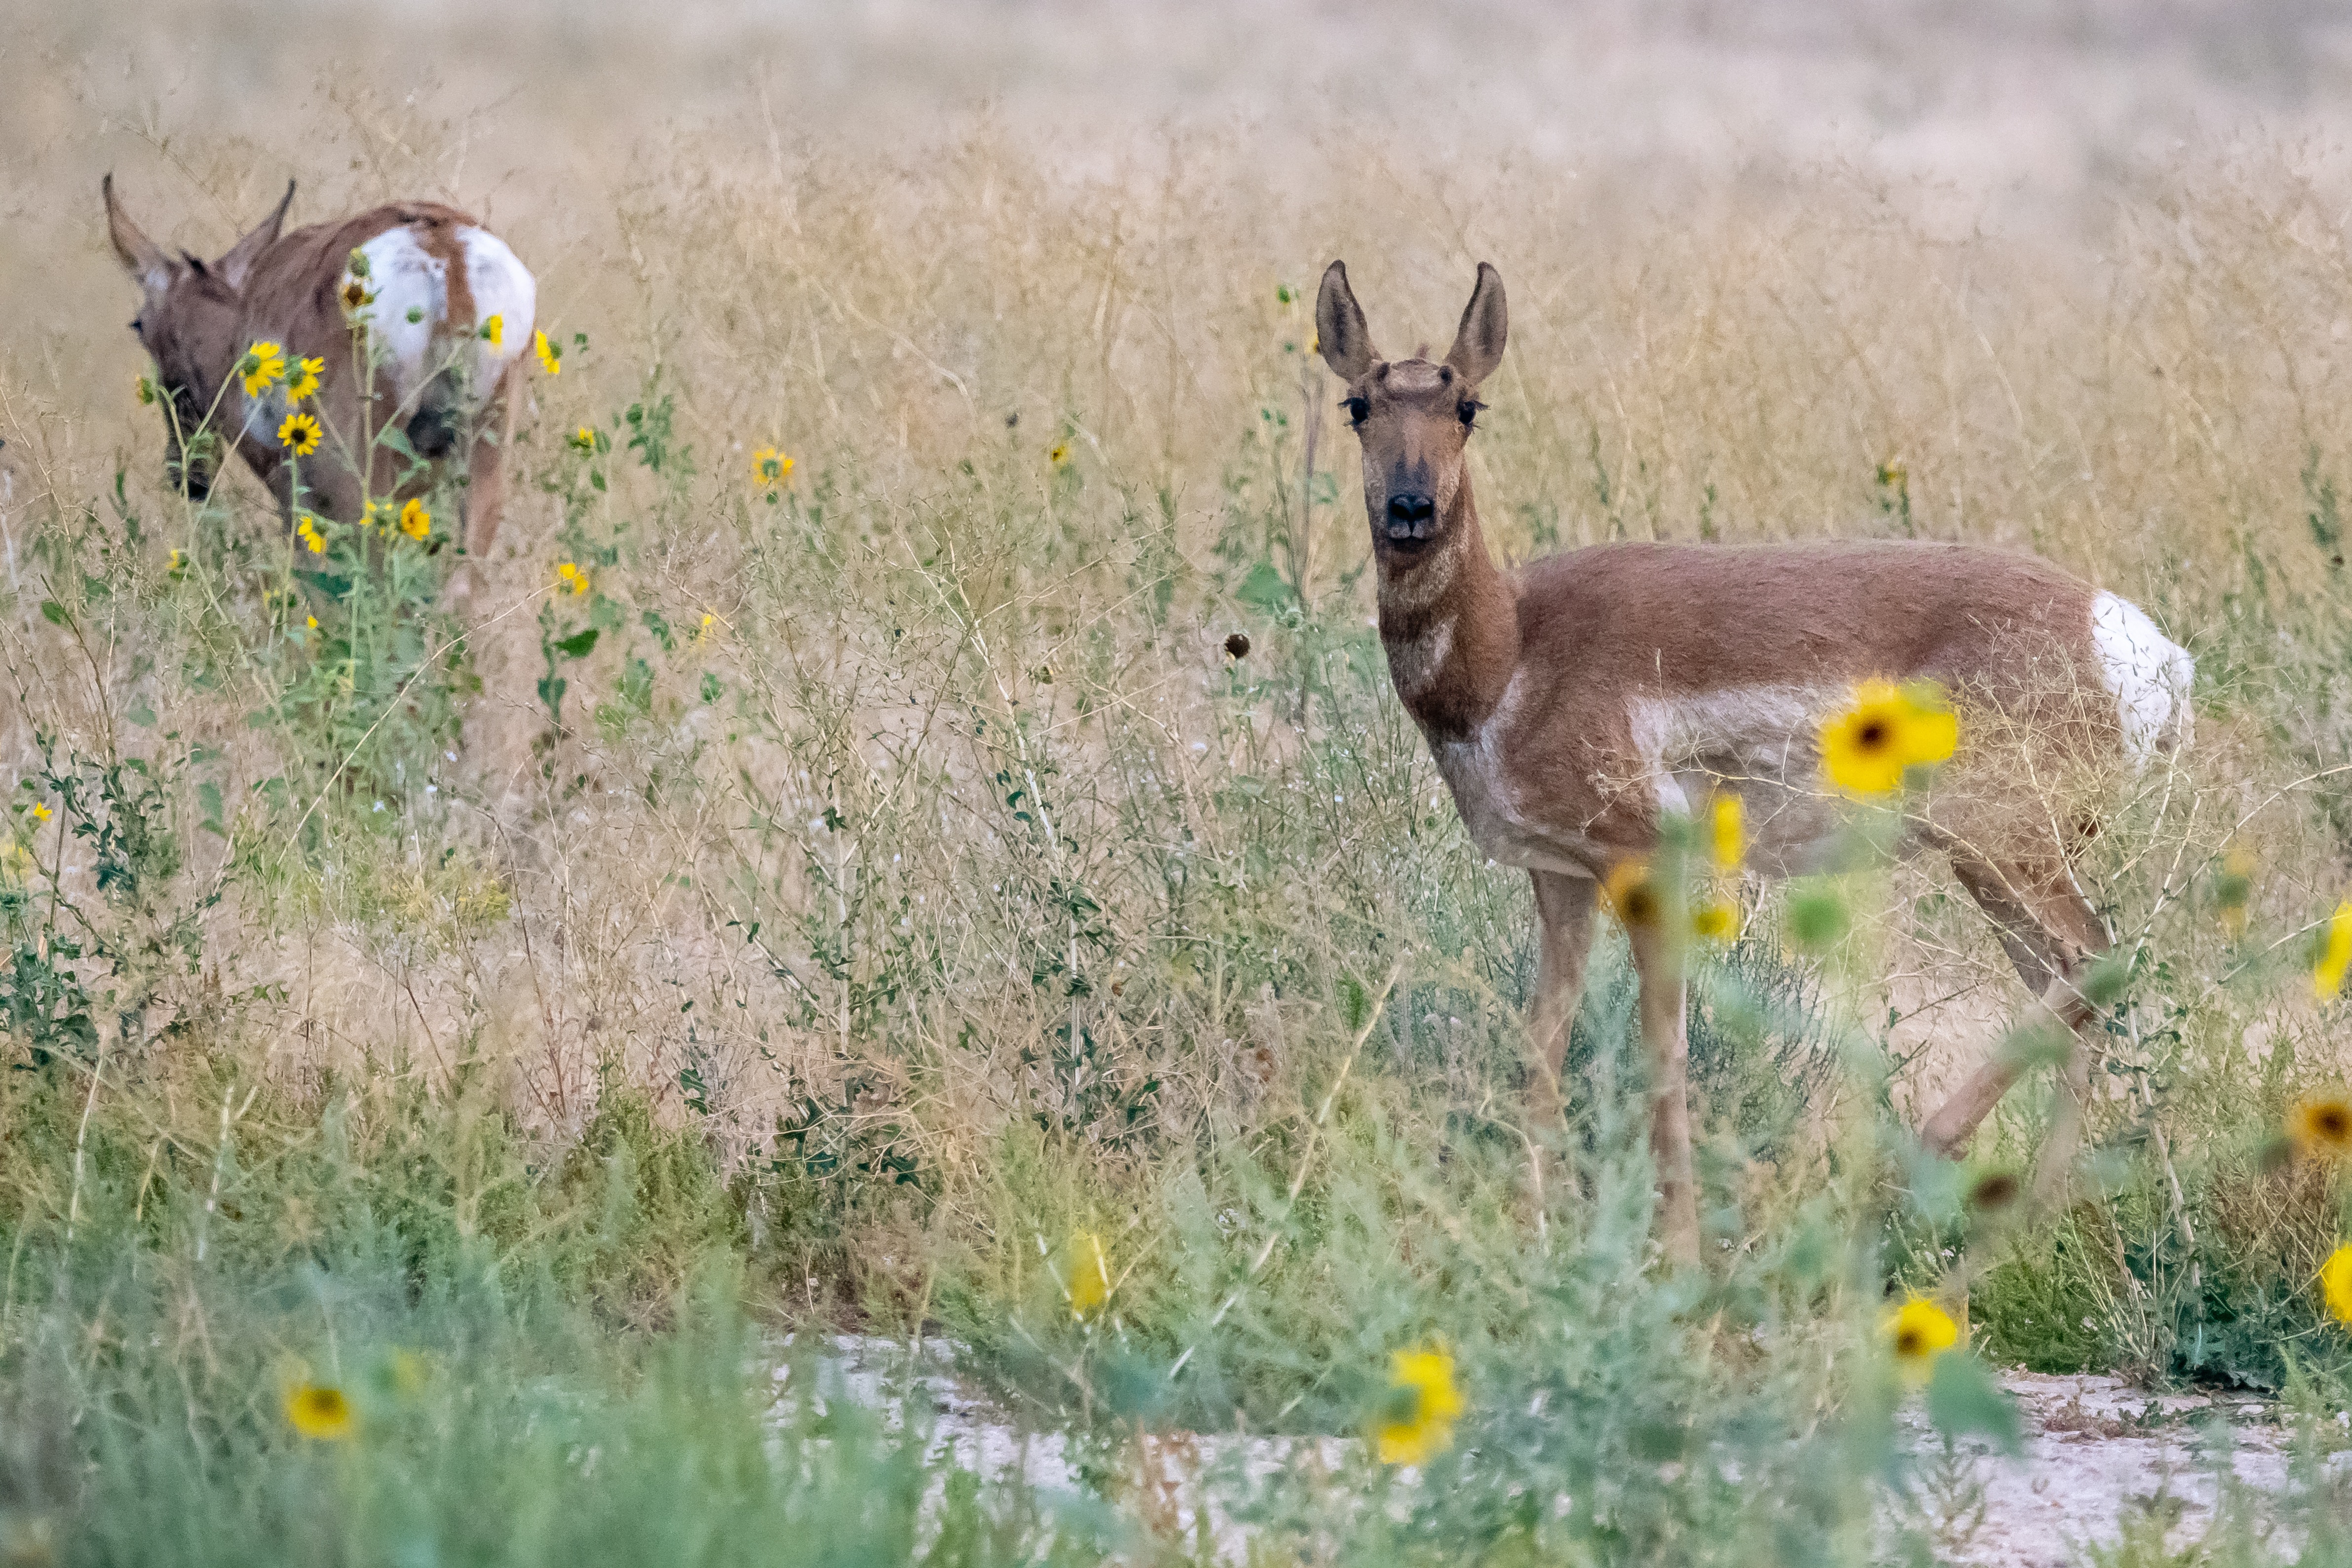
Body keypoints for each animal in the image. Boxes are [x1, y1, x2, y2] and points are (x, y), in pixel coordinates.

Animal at [1317, 257, 2192, 1260]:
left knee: (2094, 964)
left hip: (2003, 850)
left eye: (1467, 404)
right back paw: (2024, 1226)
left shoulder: (1642, 863)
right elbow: (1542, 1041)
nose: (1410, 509)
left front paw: (1681, 1252)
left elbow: (1662, 1051)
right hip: (1998, 872)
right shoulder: (1561, 875)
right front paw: (1535, 1234)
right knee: (2072, 986)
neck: (1514, 646)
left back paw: (1918, 1167)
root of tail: (2132, 638)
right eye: (1357, 404)